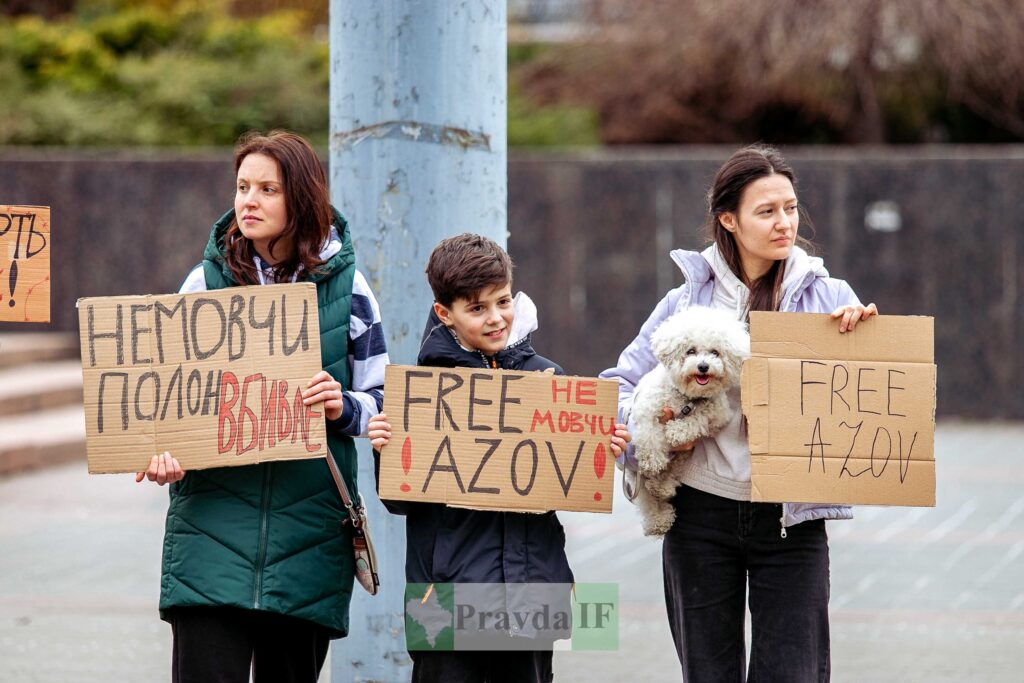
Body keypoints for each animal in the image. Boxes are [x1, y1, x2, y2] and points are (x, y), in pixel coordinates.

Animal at [626, 307, 749, 536]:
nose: (703, 366)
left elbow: (698, 420)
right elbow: (649, 438)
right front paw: (653, 460)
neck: (686, 398)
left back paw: (662, 488)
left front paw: (677, 432)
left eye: (715, 352)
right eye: (690, 351)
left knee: (664, 482)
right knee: (647, 499)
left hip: (681, 459)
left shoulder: (717, 414)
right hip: (635, 475)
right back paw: (657, 519)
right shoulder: (646, 411)